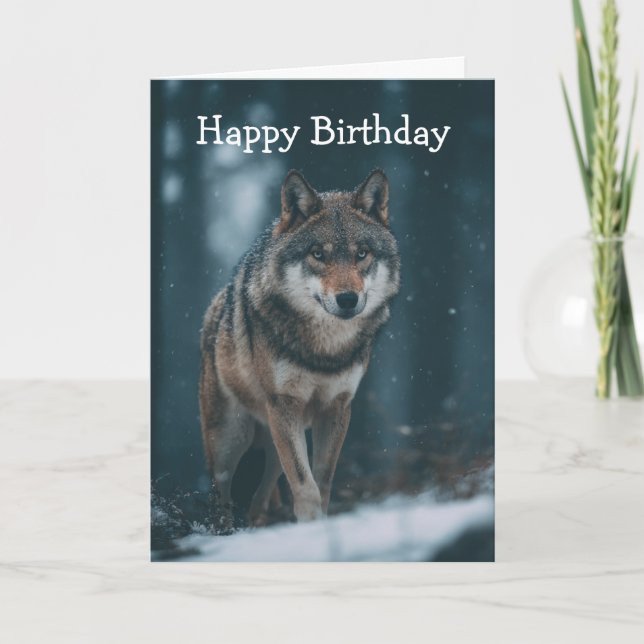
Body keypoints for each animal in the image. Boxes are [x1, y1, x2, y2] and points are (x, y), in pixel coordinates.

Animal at [199, 169, 400, 524]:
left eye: (362, 253)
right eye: (318, 254)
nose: (347, 299)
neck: (325, 350)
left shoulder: (337, 407)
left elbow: (322, 481)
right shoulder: (285, 404)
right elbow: (305, 485)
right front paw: (312, 525)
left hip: (272, 441)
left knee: (262, 495)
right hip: (232, 439)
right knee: (221, 494)